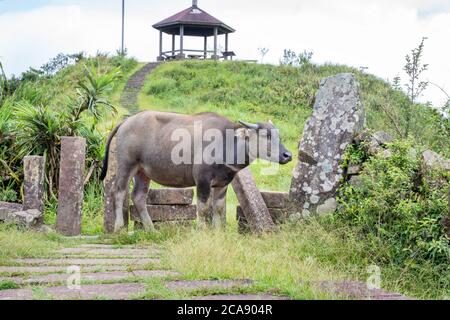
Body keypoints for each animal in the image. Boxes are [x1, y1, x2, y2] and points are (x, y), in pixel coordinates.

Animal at [99, 111, 292, 231]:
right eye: (266, 135)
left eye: (278, 135)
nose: (287, 155)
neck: (226, 142)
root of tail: (126, 121)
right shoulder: (202, 180)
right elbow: (203, 208)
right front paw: (202, 230)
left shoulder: (222, 184)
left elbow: (218, 209)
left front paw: (216, 232)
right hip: (126, 165)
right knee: (118, 192)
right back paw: (118, 227)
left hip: (143, 172)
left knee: (138, 196)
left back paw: (151, 229)